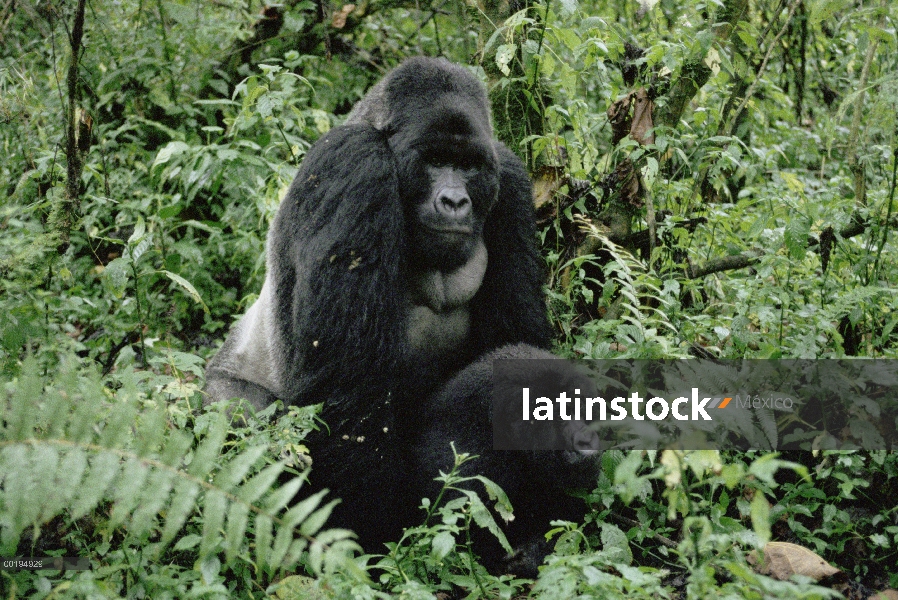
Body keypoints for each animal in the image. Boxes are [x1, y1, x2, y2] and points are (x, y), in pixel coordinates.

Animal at [204, 57, 596, 576]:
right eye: (433, 161)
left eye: (468, 166)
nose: (455, 201)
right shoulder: (354, 165)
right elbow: (347, 397)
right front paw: (372, 536)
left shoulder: (510, 180)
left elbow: (513, 351)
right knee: (237, 410)